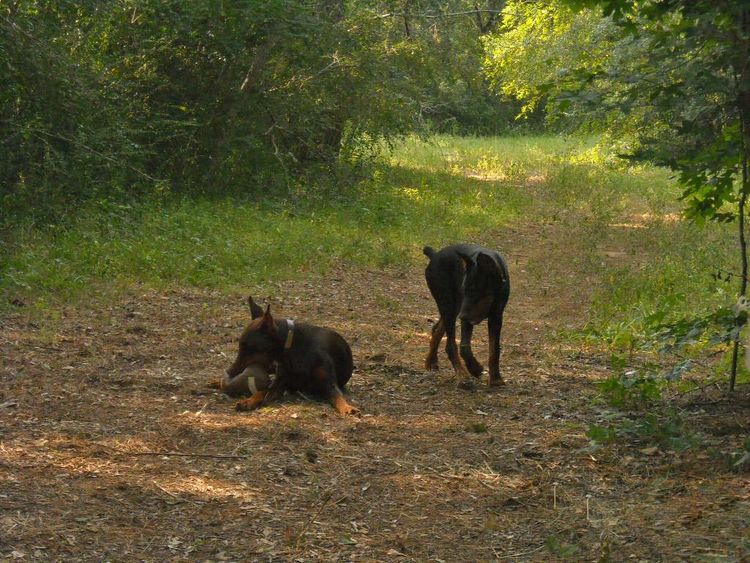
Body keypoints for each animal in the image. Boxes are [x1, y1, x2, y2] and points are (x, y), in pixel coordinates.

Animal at [219, 298, 360, 416]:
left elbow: (337, 396)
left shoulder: (329, 383)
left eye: (246, 347)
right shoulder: (281, 384)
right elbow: (262, 391)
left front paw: (347, 407)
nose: (229, 372)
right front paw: (248, 401)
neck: (292, 349)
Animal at [424, 243, 512, 388]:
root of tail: (434, 255)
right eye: (464, 289)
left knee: (437, 328)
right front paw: (475, 369)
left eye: (475, 291)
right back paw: (462, 375)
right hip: (448, 303)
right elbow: (464, 346)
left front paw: (495, 379)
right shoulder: (467, 317)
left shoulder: (496, 316)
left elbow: (494, 349)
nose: (462, 316)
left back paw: (431, 361)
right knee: (450, 345)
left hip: (453, 308)